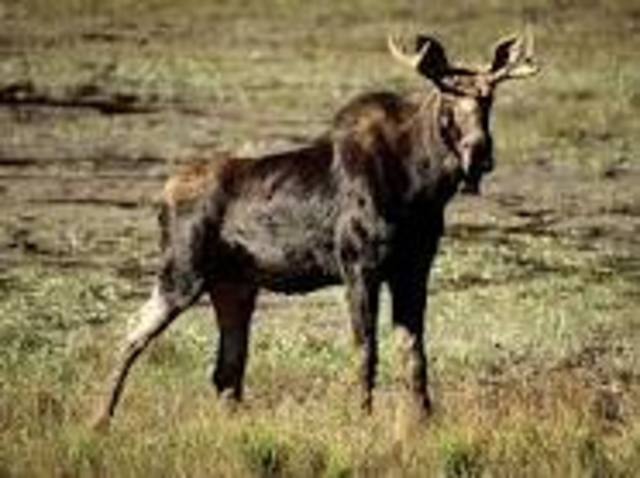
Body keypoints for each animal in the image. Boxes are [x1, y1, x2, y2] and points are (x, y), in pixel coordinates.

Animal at [91, 30, 538, 429]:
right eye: (449, 98)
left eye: (489, 98)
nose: (479, 152)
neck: (423, 187)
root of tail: (163, 195)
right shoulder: (358, 265)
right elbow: (366, 350)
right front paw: (363, 417)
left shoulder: (415, 267)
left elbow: (414, 351)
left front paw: (424, 420)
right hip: (181, 273)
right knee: (132, 333)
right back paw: (99, 420)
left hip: (234, 285)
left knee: (226, 368)